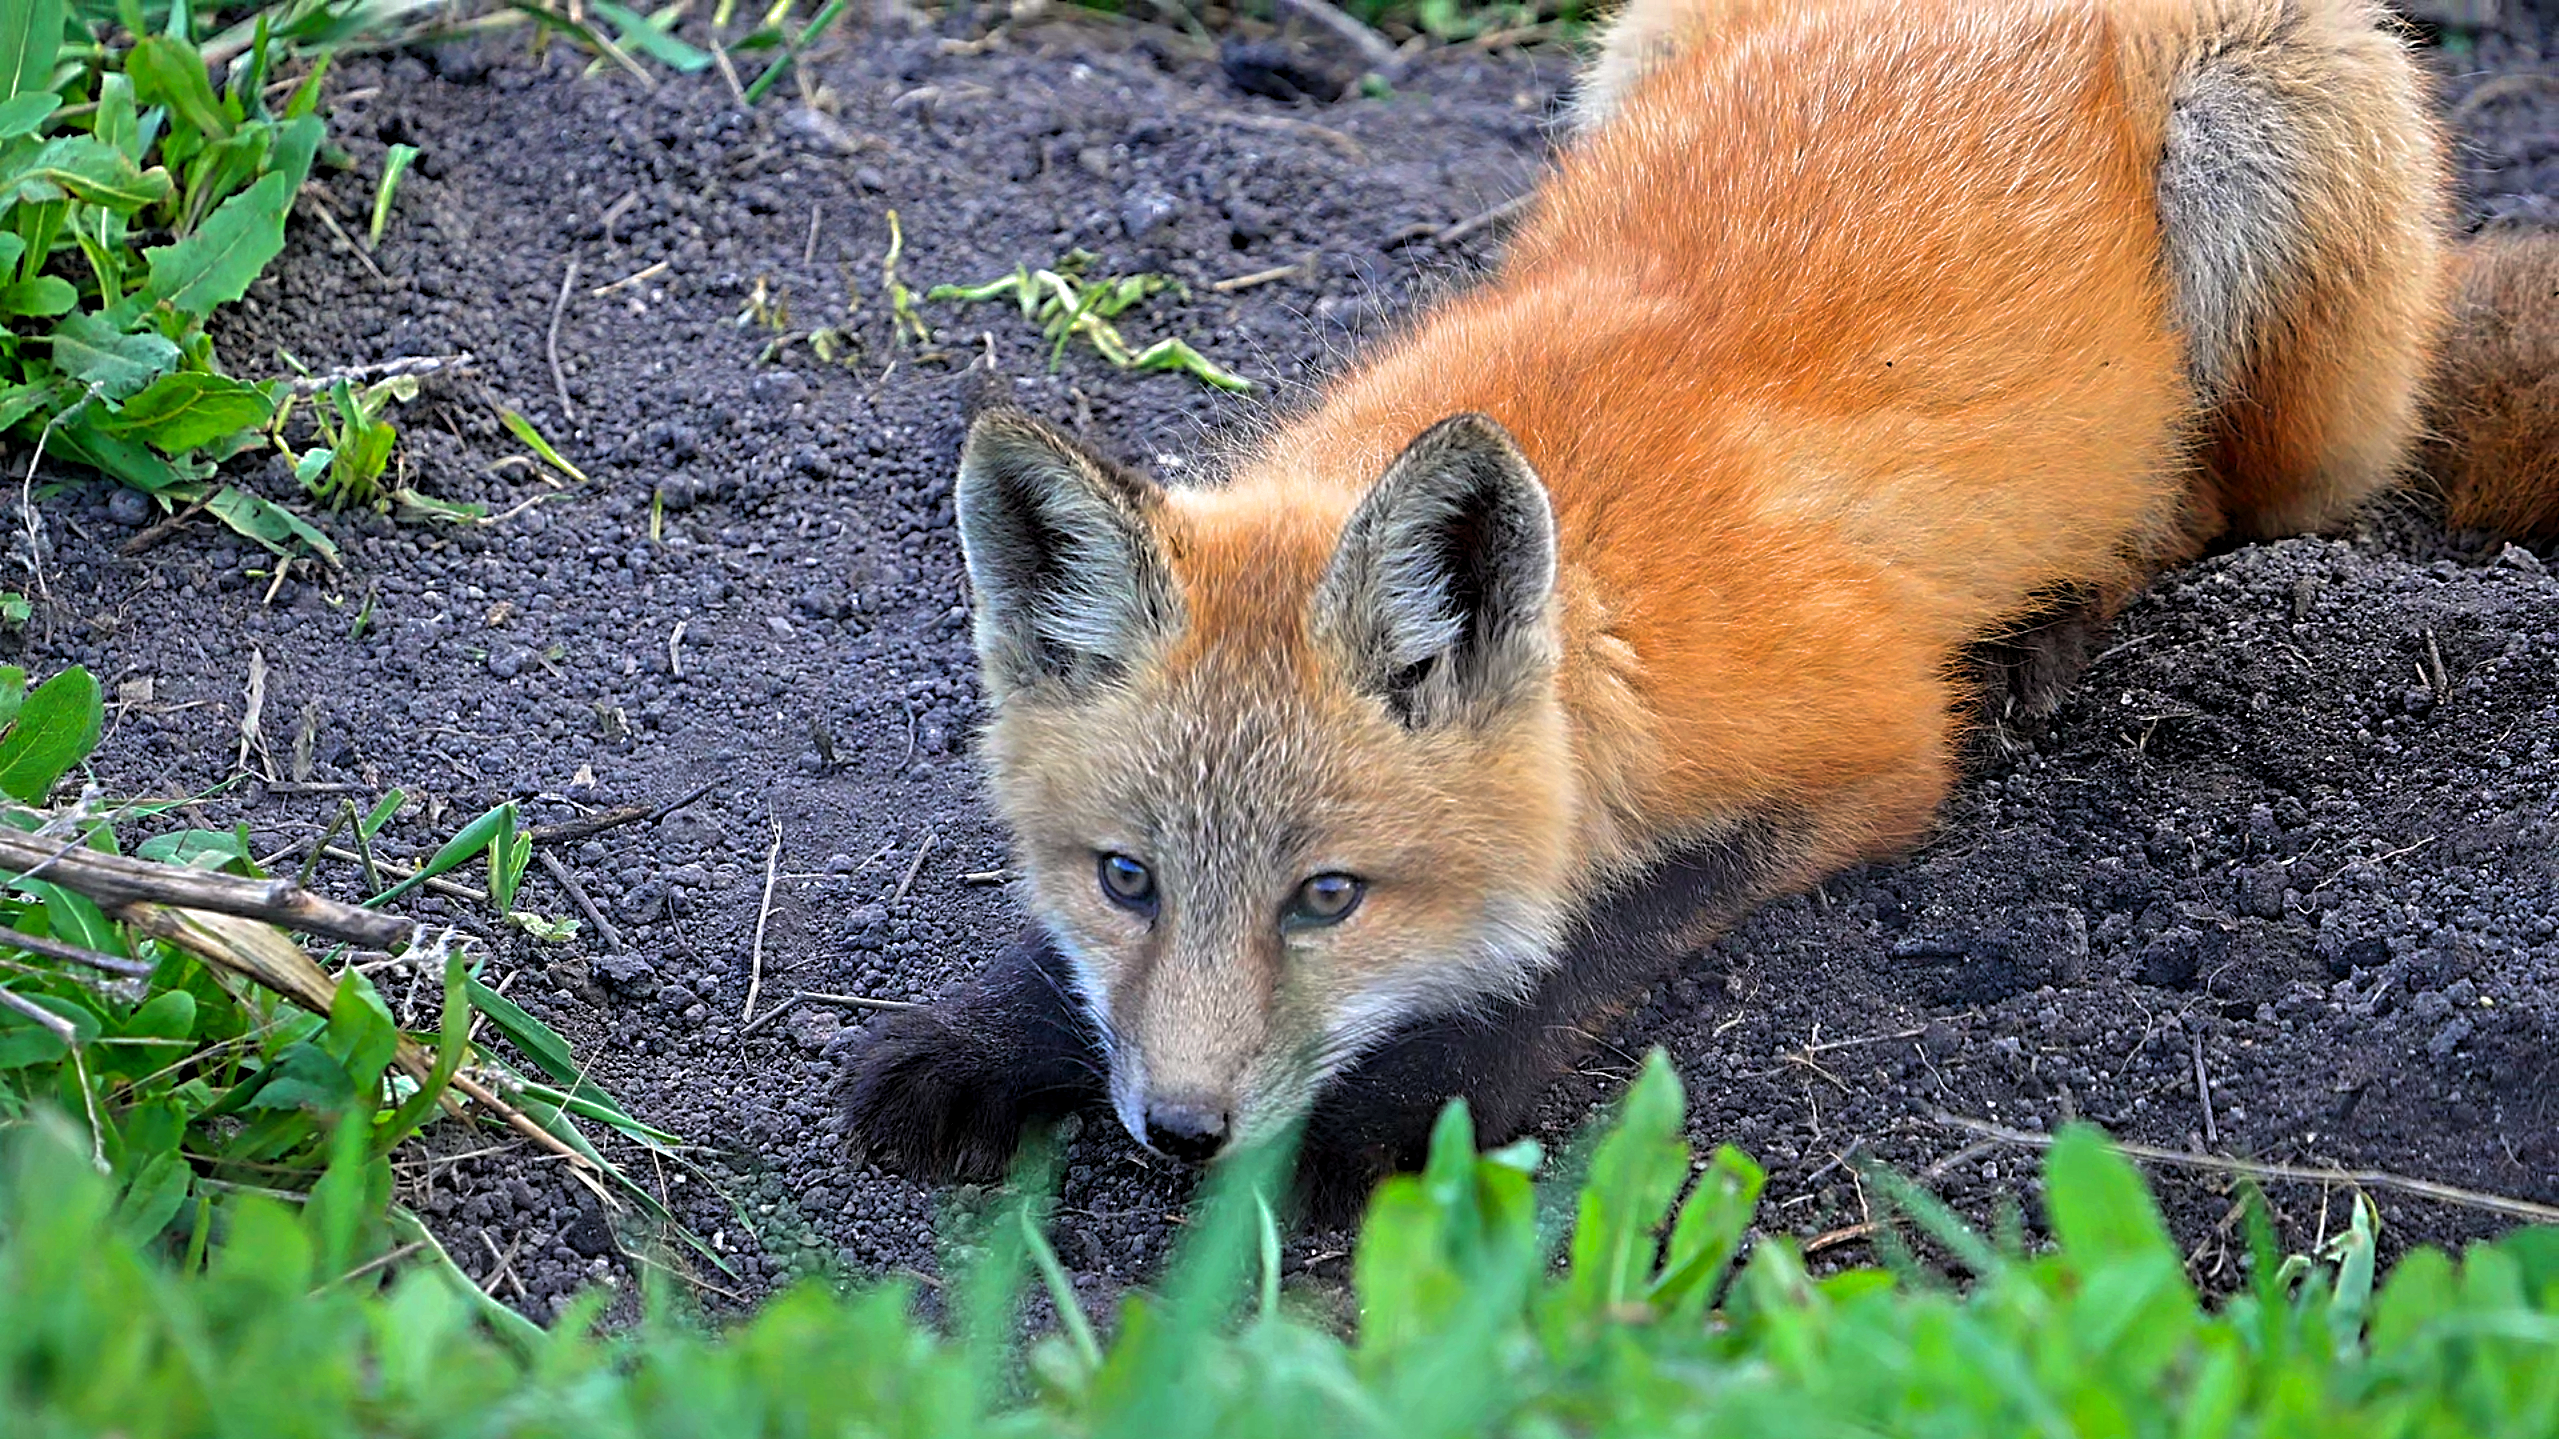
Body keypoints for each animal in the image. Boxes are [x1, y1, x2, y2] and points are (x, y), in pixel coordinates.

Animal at [839, 0, 2559, 1212]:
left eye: (1327, 896)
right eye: (1124, 877)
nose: (1181, 1130)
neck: (1609, 580)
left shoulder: (1870, 752)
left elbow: (1594, 932)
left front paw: (1402, 1100)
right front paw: (993, 1029)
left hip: (2263, 191)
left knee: (2218, 512)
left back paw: (2063, 614)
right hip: (1623, 59)